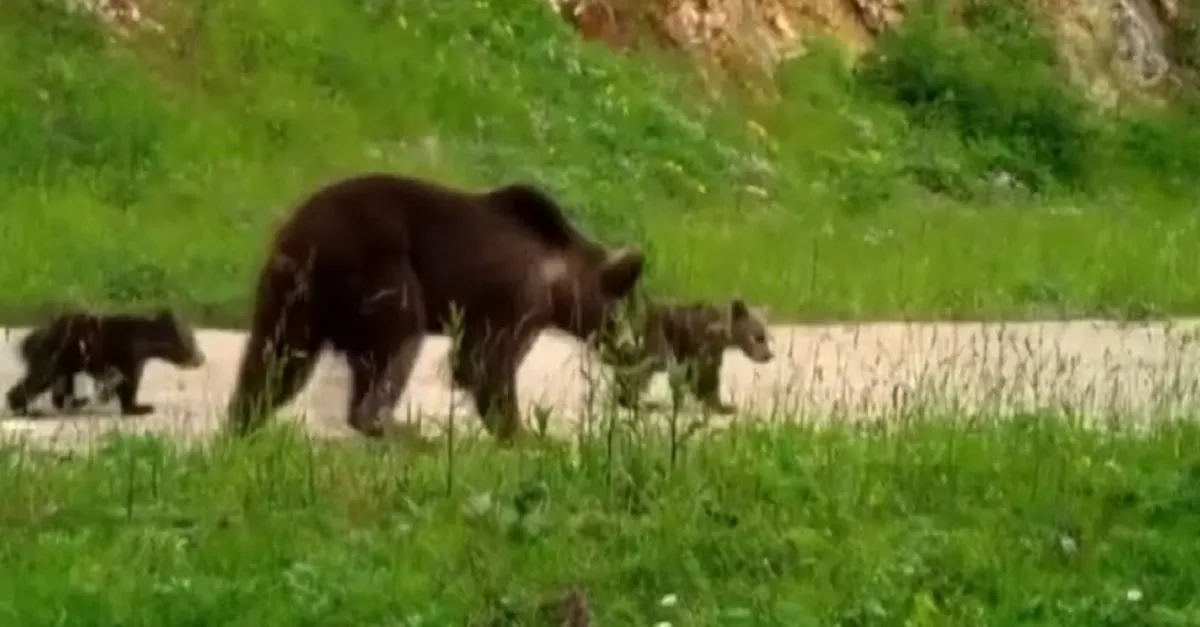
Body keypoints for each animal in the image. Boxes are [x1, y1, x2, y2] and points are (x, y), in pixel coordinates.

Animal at [225, 171, 648, 439]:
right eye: (631, 310)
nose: (633, 351)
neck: (560, 284)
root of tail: (297, 244)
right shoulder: (513, 300)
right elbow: (484, 365)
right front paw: (525, 433)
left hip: (291, 302)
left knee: (272, 366)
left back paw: (240, 427)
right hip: (379, 269)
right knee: (396, 344)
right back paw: (399, 429)